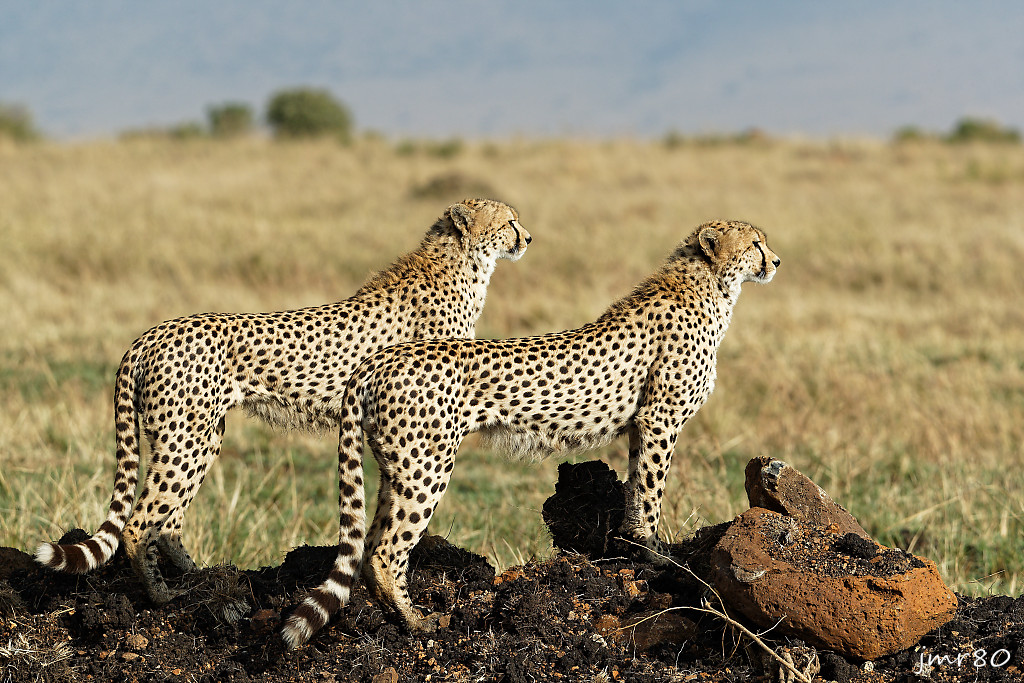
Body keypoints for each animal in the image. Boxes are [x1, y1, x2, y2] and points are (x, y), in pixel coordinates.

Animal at [35, 198, 532, 606]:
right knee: (140, 523)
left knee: (169, 520)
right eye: (509, 220)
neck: (460, 265)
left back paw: (202, 578)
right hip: (184, 439)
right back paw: (163, 596)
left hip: (200, 438)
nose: (528, 237)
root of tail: (154, 331)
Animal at [281, 219, 779, 648]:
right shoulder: (661, 419)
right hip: (427, 466)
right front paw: (658, 557)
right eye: (754, 243)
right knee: (385, 551)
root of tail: (380, 358)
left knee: (369, 546)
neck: (708, 286)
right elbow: (652, 491)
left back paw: (395, 618)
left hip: (397, 466)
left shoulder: (643, 426)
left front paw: (634, 547)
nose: (775, 261)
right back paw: (419, 624)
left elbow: (637, 487)